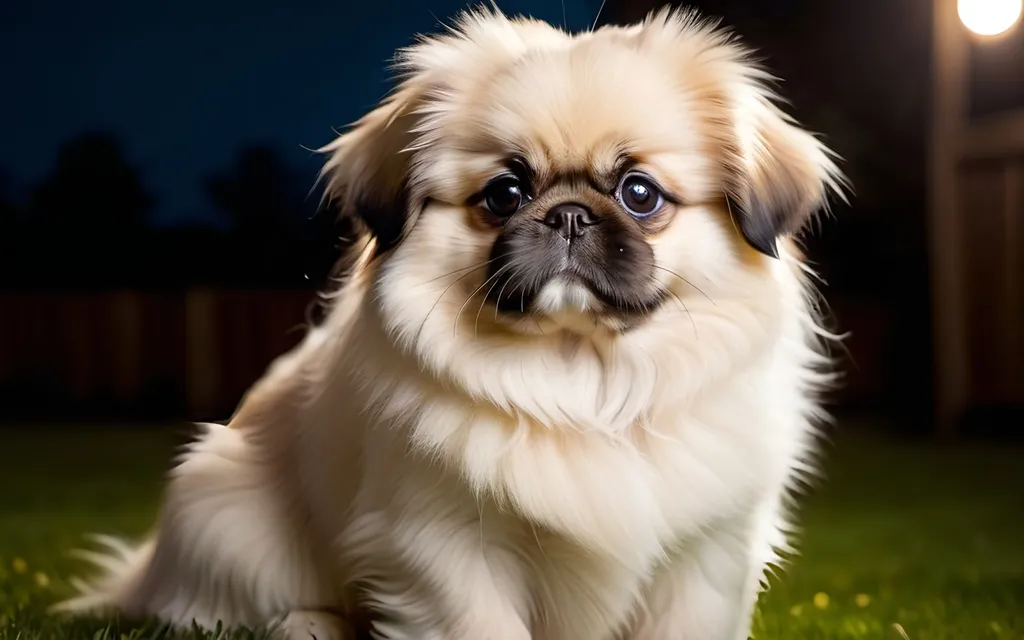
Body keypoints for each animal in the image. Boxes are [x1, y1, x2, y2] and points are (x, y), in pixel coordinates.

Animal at [59, 6, 851, 638]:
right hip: (223, 512)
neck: (581, 379)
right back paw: (311, 626)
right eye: (504, 194)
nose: (568, 215)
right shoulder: (444, 551)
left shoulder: (704, 556)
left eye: (639, 193)